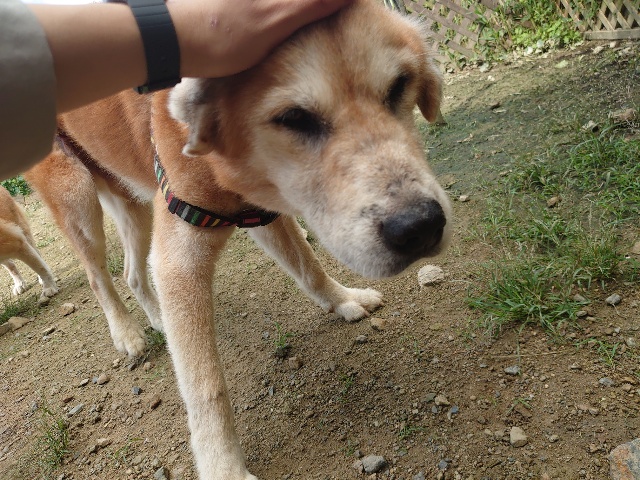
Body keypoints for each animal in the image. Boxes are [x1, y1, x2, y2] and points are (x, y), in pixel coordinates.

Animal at [25, 1, 451, 478]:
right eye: (293, 117)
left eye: (399, 86)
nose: (421, 226)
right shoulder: (181, 257)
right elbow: (205, 384)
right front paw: (222, 466)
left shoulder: (261, 211)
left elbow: (308, 265)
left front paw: (343, 300)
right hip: (78, 197)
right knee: (98, 275)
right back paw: (128, 334)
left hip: (133, 204)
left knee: (133, 272)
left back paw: (157, 319)